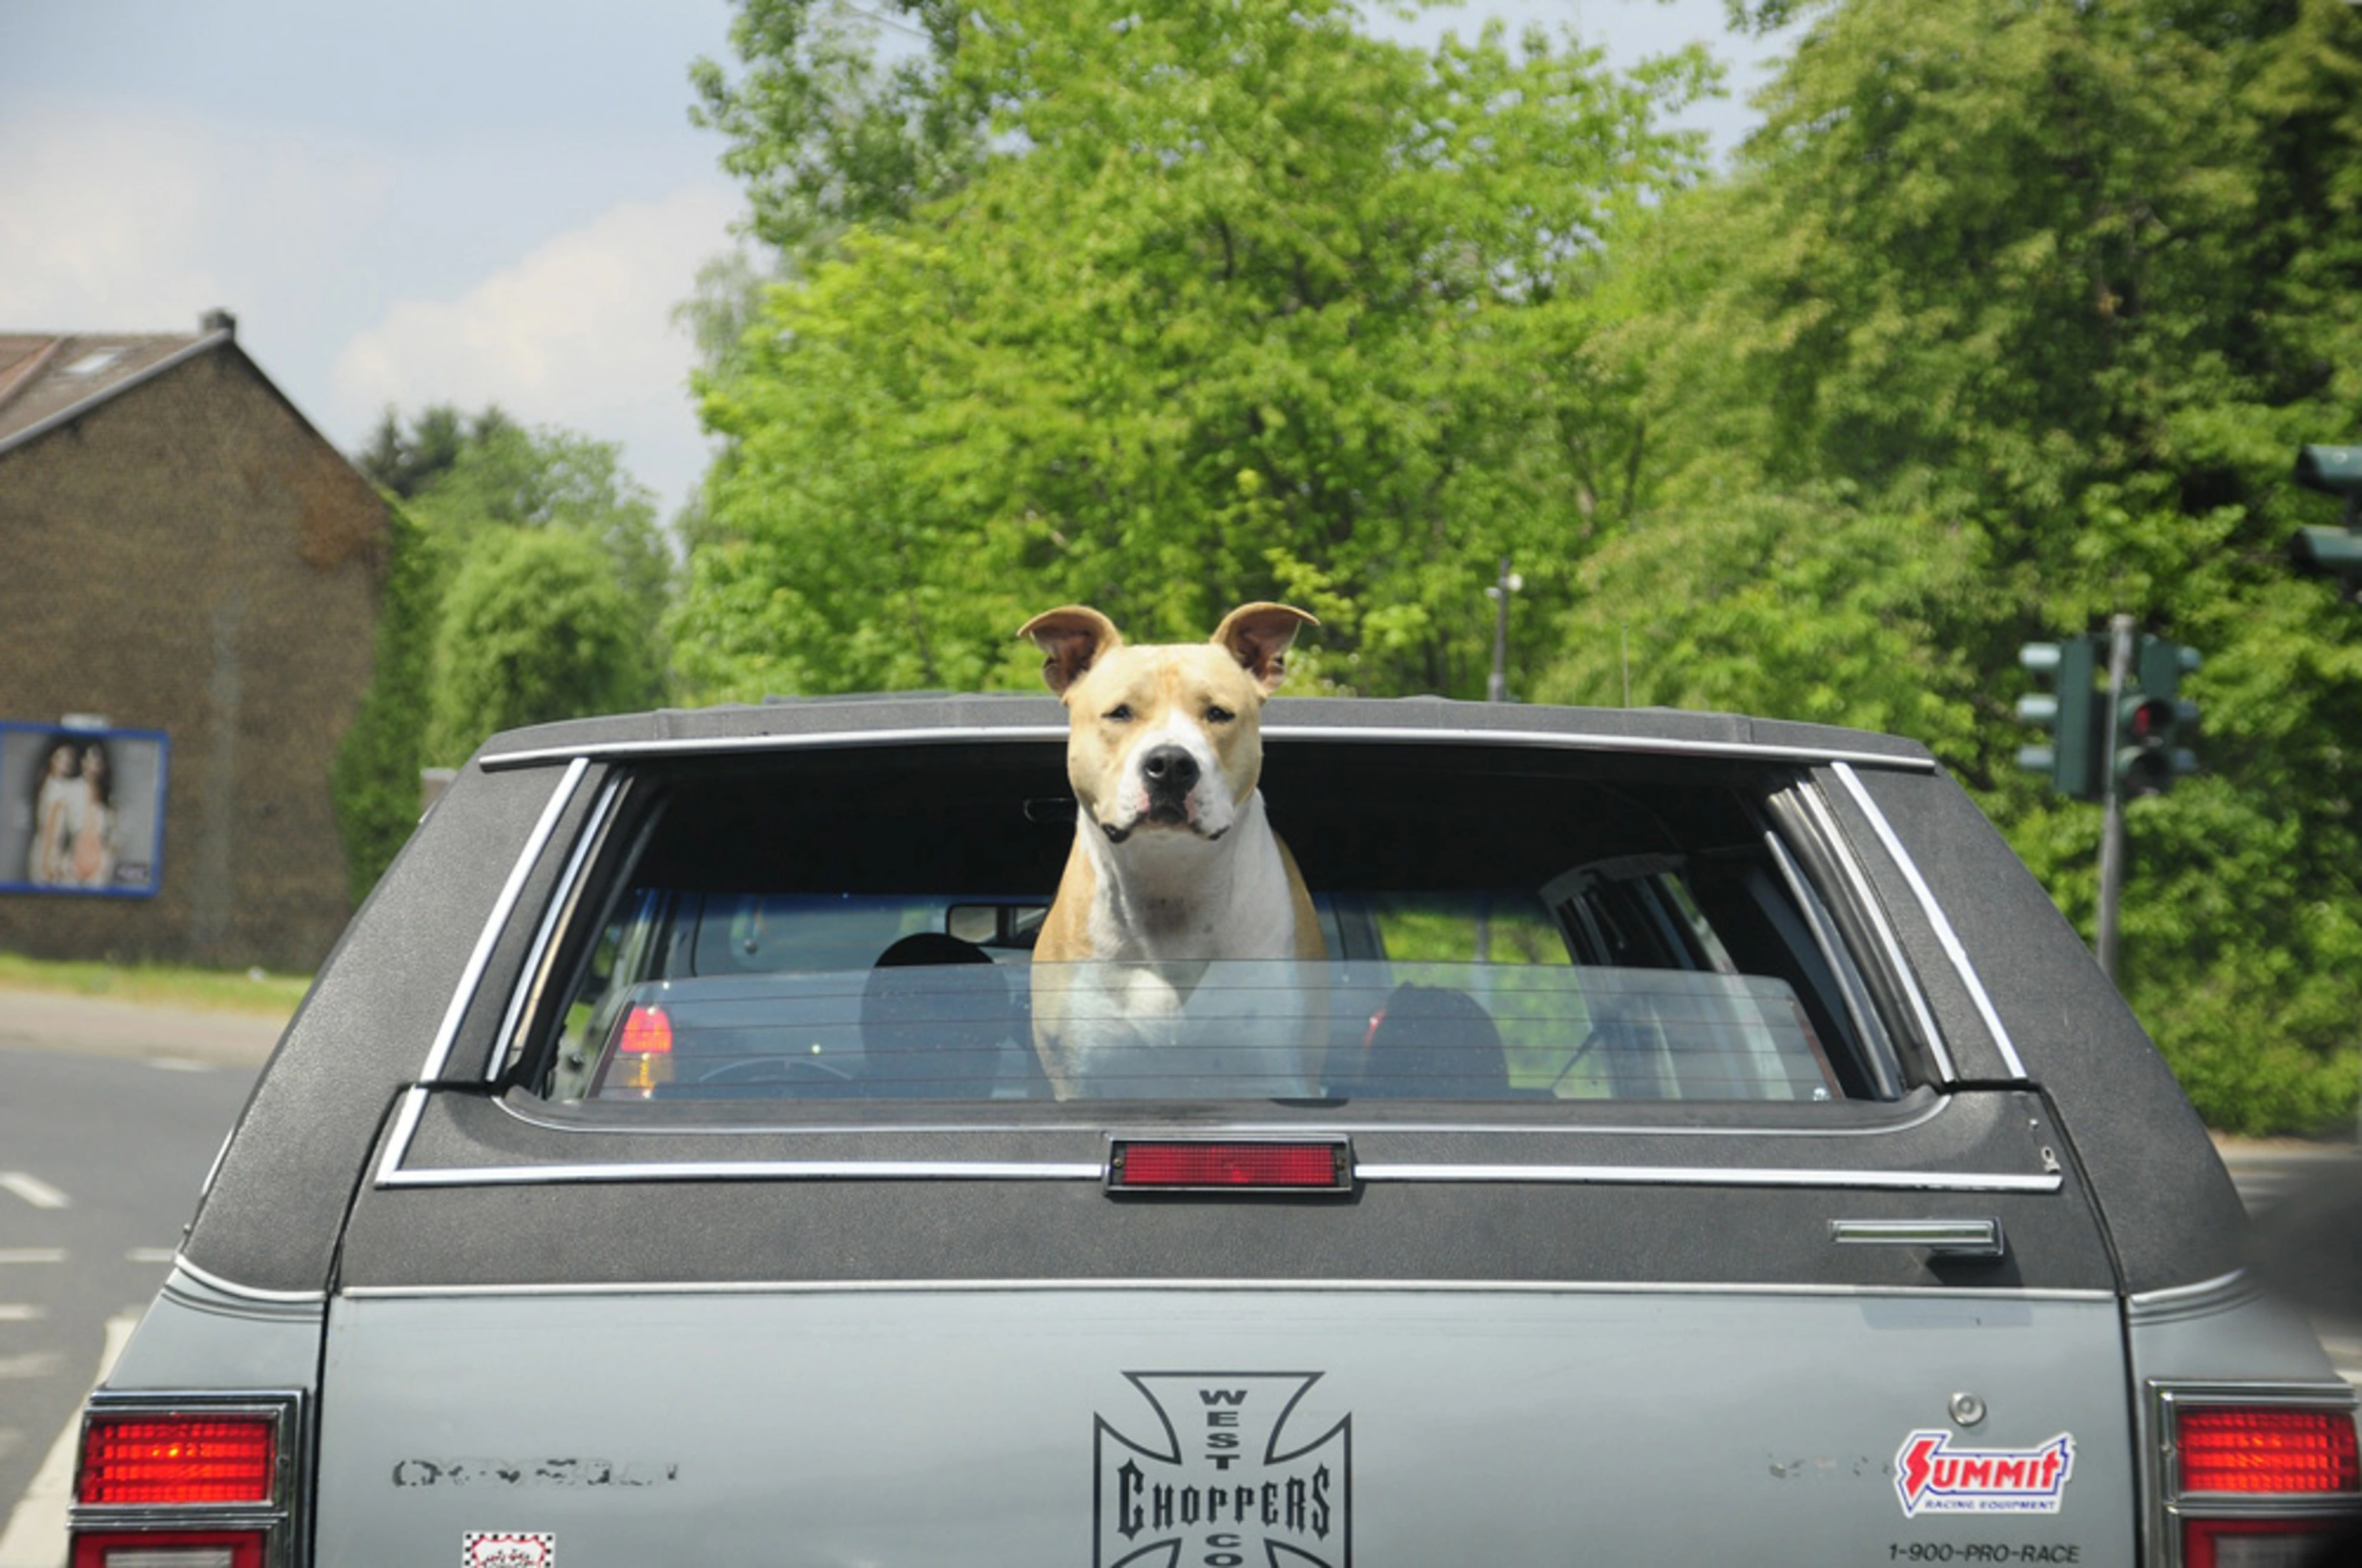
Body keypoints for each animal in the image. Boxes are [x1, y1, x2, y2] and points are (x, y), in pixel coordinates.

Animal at [1020, 600, 1332, 1100]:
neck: (1169, 877)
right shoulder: (1079, 1079)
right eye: (1120, 713)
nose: (1169, 763)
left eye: (1220, 713)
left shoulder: (1285, 1070)